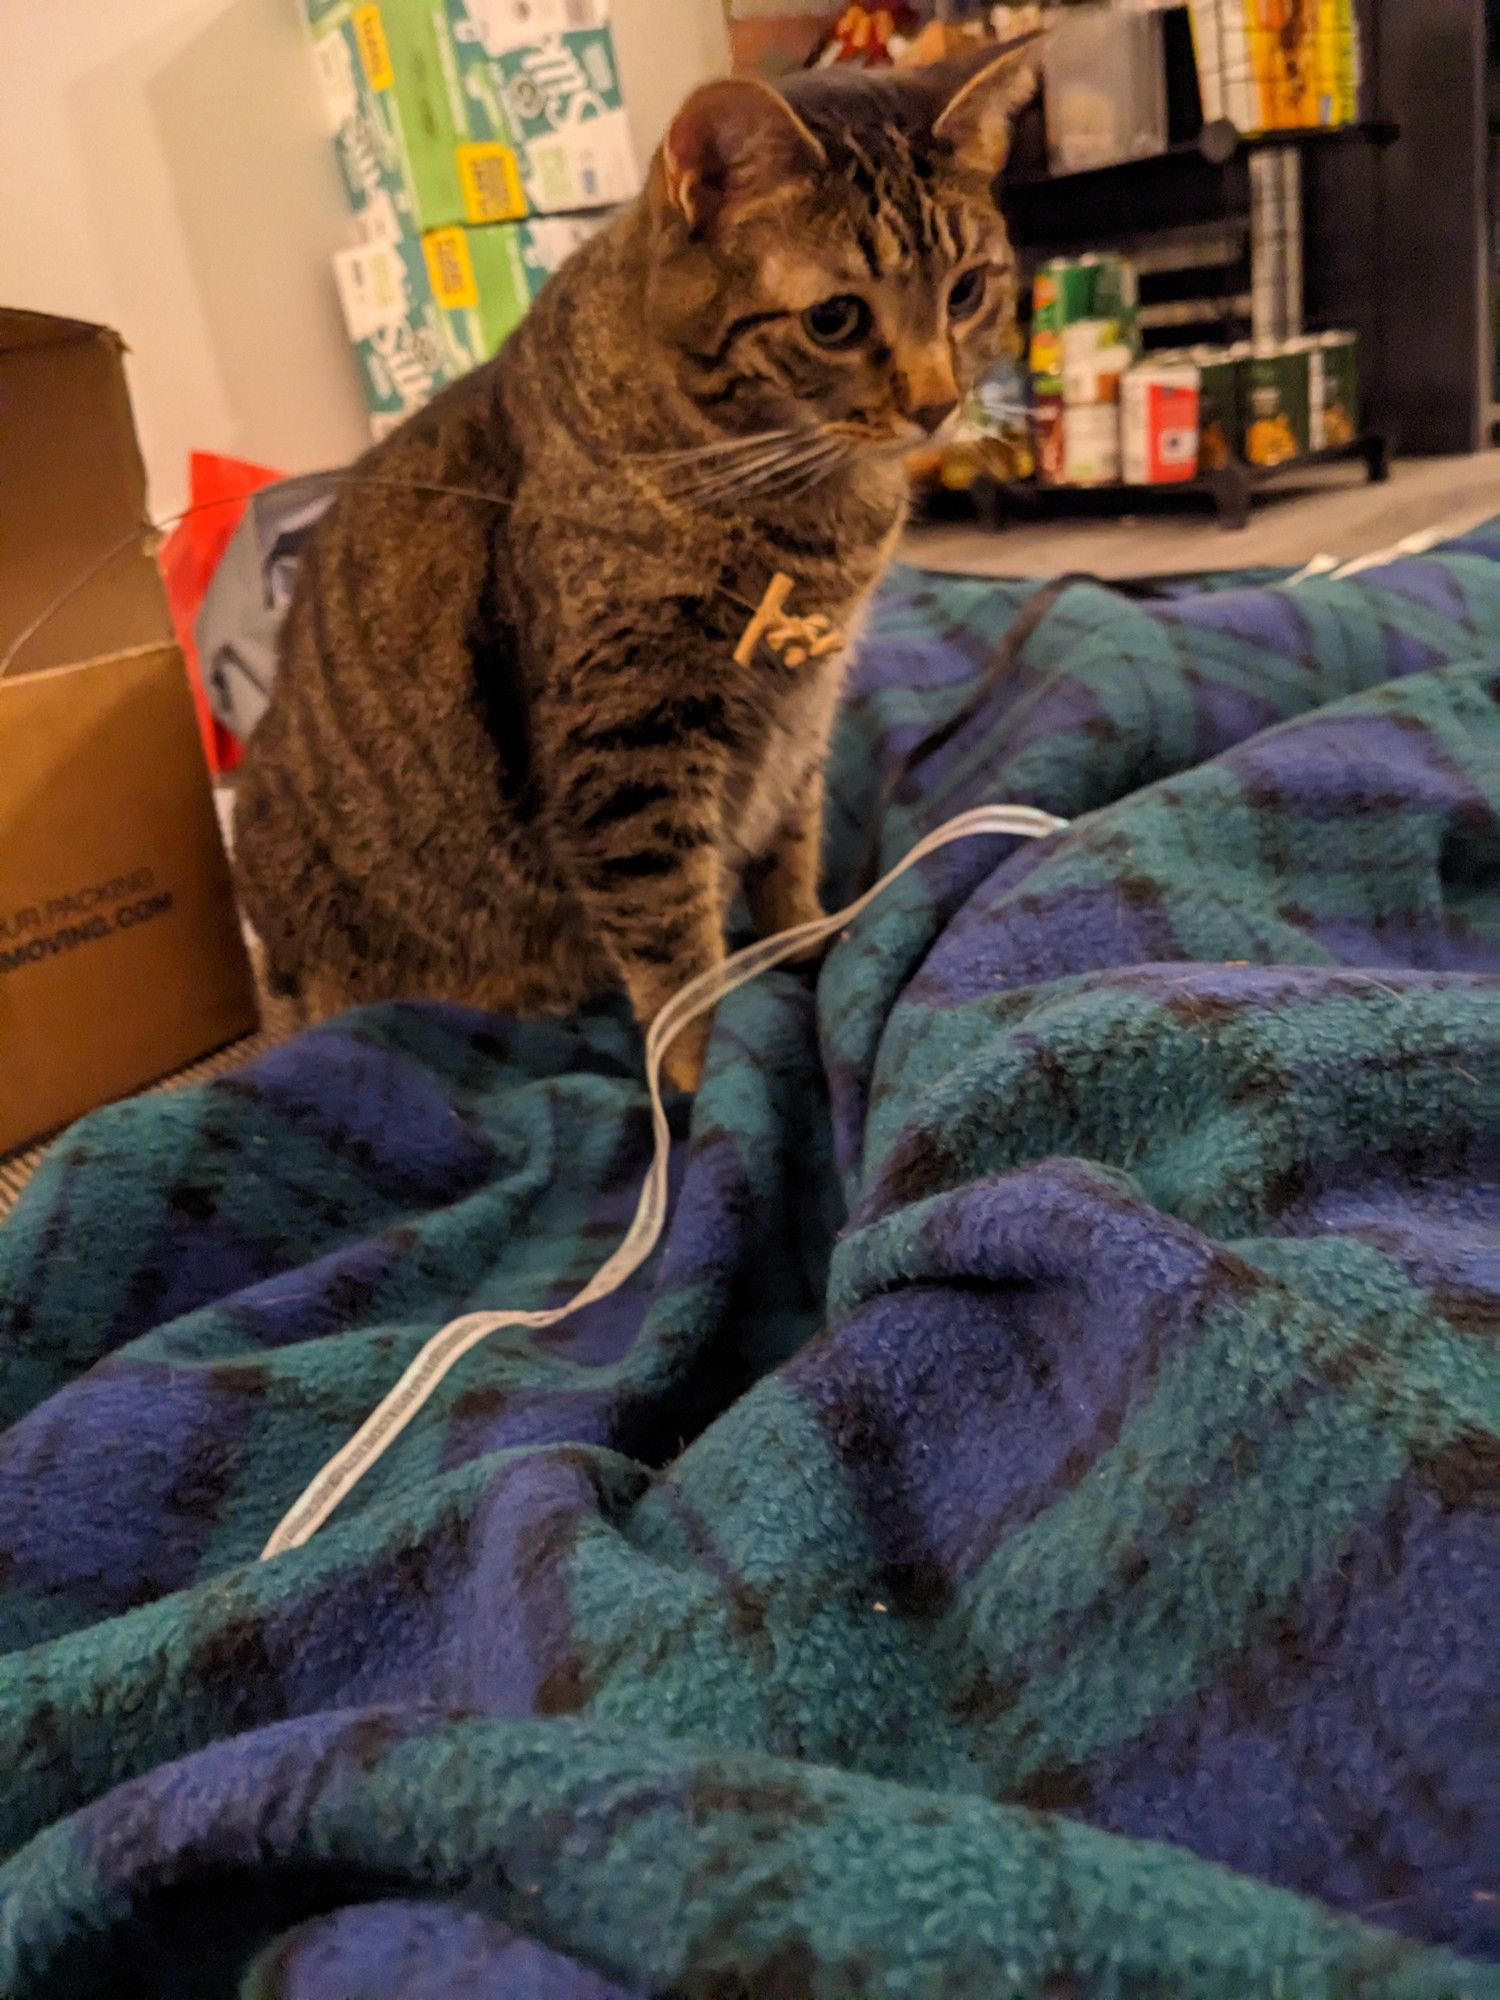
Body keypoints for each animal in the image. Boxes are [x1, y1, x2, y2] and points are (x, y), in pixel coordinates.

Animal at [238, 35, 1048, 1096]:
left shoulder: (800, 720)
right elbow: (673, 942)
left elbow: (789, 857)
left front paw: (806, 953)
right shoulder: (629, 740)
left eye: (965, 291)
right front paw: (699, 1069)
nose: (937, 404)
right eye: (834, 319)